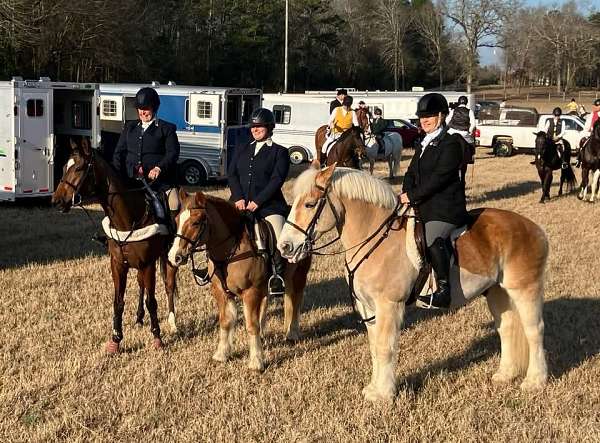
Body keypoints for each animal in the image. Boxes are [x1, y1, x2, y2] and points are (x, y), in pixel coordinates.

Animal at [51, 139, 178, 354]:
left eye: (79, 168)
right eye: (63, 167)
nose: (57, 201)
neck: (129, 218)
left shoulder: (148, 264)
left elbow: (152, 301)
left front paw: (157, 338)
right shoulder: (118, 264)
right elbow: (118, 302)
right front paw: (115, 340)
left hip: (167, 257)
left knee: (168, 286)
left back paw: (172, 322)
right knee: (141, 285)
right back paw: (139, 318)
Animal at [168, 190, 312, 372]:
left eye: (196, 222)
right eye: (176, 220)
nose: (174, 257)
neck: (231, 251)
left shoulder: (250, 292)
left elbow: (251, 325)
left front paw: (256, 362)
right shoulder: (222, 292)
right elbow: (225, 321)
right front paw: (222, 354)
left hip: (299, 274)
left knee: (295, 298)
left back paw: (292, 333)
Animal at [276, 165, 548, 404]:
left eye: (310, 204)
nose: (284, 247)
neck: (376, 241)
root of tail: (534, 228)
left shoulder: (389, 305)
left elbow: (385, 348)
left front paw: (384, 395)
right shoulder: (369, 308)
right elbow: (374, 347)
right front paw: (373, 389)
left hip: (525, 289)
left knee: (534, 331)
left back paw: (535, 381)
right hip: (497, 292)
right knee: (508, 328)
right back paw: (505, 375)